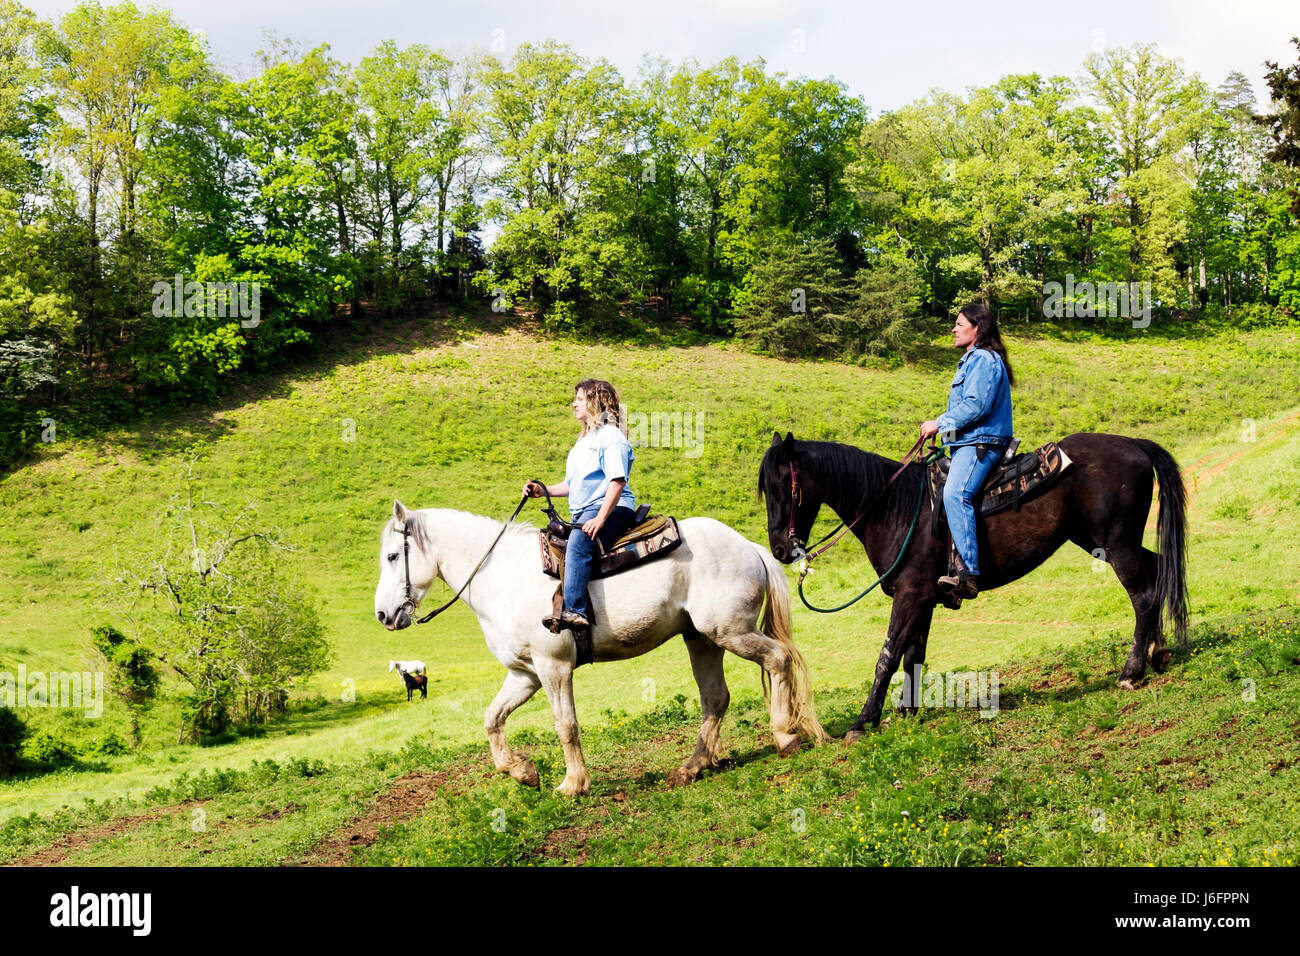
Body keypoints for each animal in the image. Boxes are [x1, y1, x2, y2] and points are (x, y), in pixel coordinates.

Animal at [371, 496, 826, 796]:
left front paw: (573, 784)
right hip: (702, 638)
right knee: (715, 698)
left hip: (731, 630)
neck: (501, 575)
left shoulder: (553, 667)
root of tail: (749, 546)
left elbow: (566, 726)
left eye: (393, 556)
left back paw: (785, 736)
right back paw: (691, 768)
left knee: (778, 659)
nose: (383, 615)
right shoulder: (524, 674)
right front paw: (522, 772)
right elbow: (492, 719)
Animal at [759, 434, 1190, 738]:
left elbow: (888, 655)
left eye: (783, 488)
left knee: (1143, 595)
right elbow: (913, 654)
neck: (894, 507)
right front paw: (907, 710)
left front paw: (863, 721)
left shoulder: (910, 594)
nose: (779, 548)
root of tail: (1133, 444)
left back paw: (1132, 671)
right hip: (1099, 540)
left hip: (1116, 545)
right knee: (1158, 573)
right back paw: (1158, 652)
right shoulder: (924, 598)